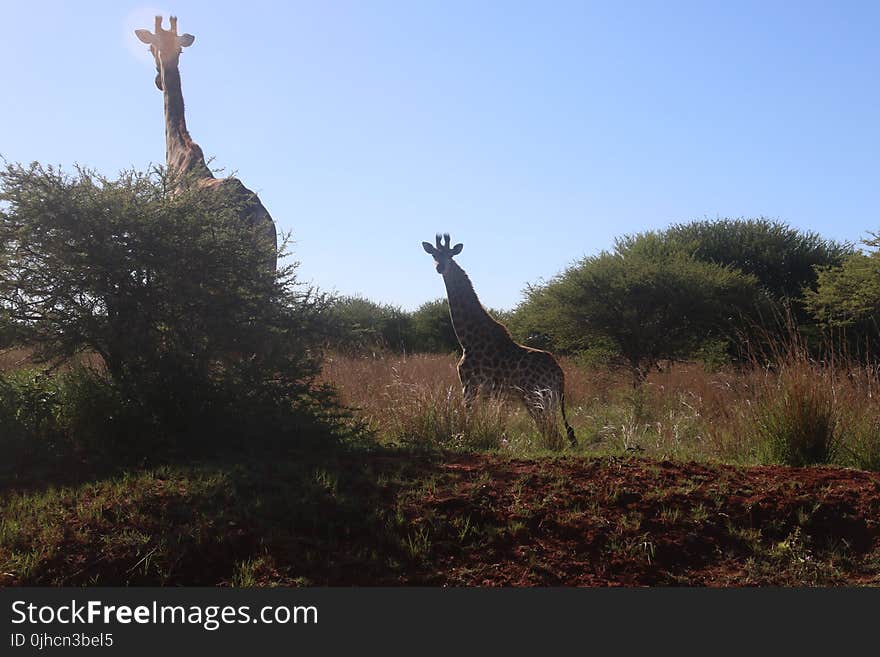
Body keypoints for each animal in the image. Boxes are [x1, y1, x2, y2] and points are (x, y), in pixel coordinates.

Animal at [422, 233, 576, 448]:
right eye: (434, 254)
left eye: (450, 255)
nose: (440, 267)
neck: (467, 339)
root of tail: (560, 374)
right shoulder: (491, 391)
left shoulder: (469, 383)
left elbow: (469, 416)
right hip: (545, 399)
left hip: (536, 398)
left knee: (552, 433)